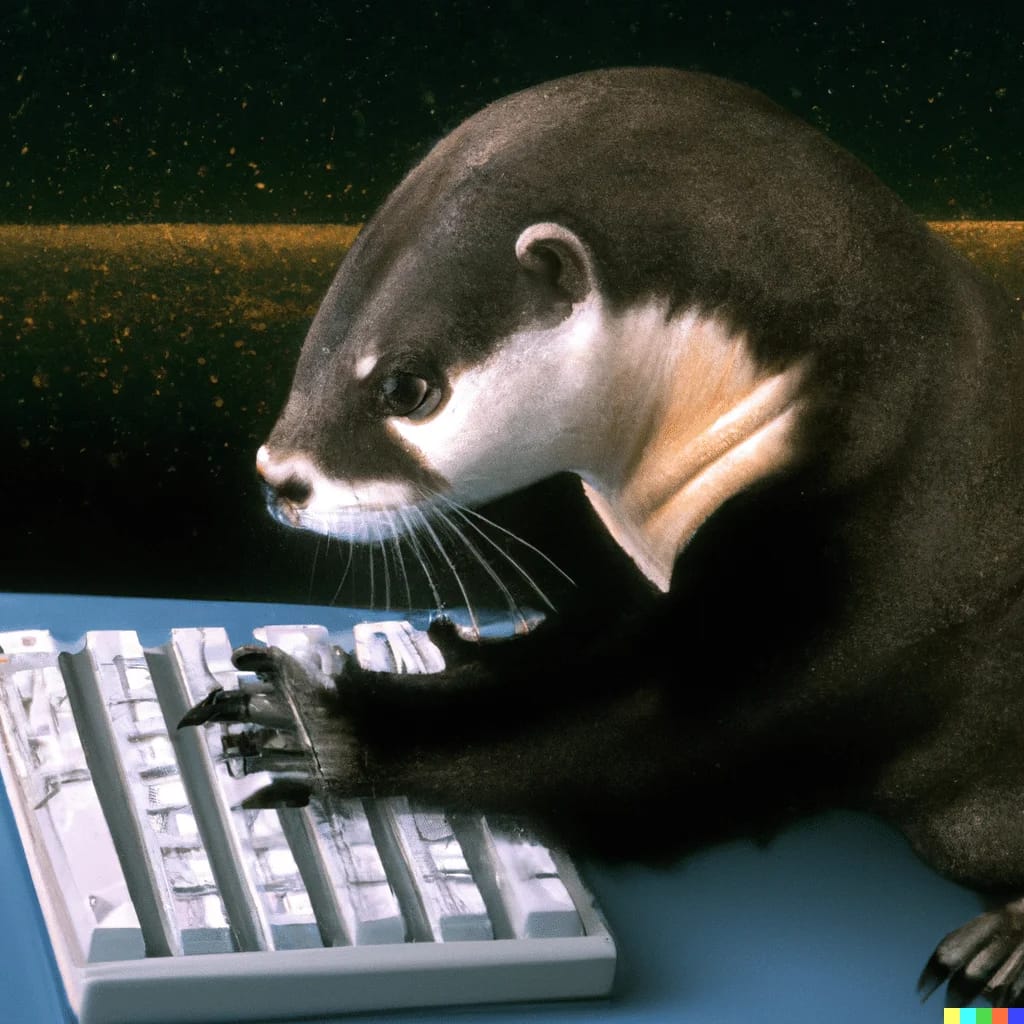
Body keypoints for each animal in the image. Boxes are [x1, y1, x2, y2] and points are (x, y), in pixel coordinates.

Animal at [181, 68, 1024, 1005]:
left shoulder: (889, 551)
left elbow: (662, 743)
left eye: (407, 387)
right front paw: (463, 649)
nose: (277, 476)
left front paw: (321, 721)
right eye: (315, 345)